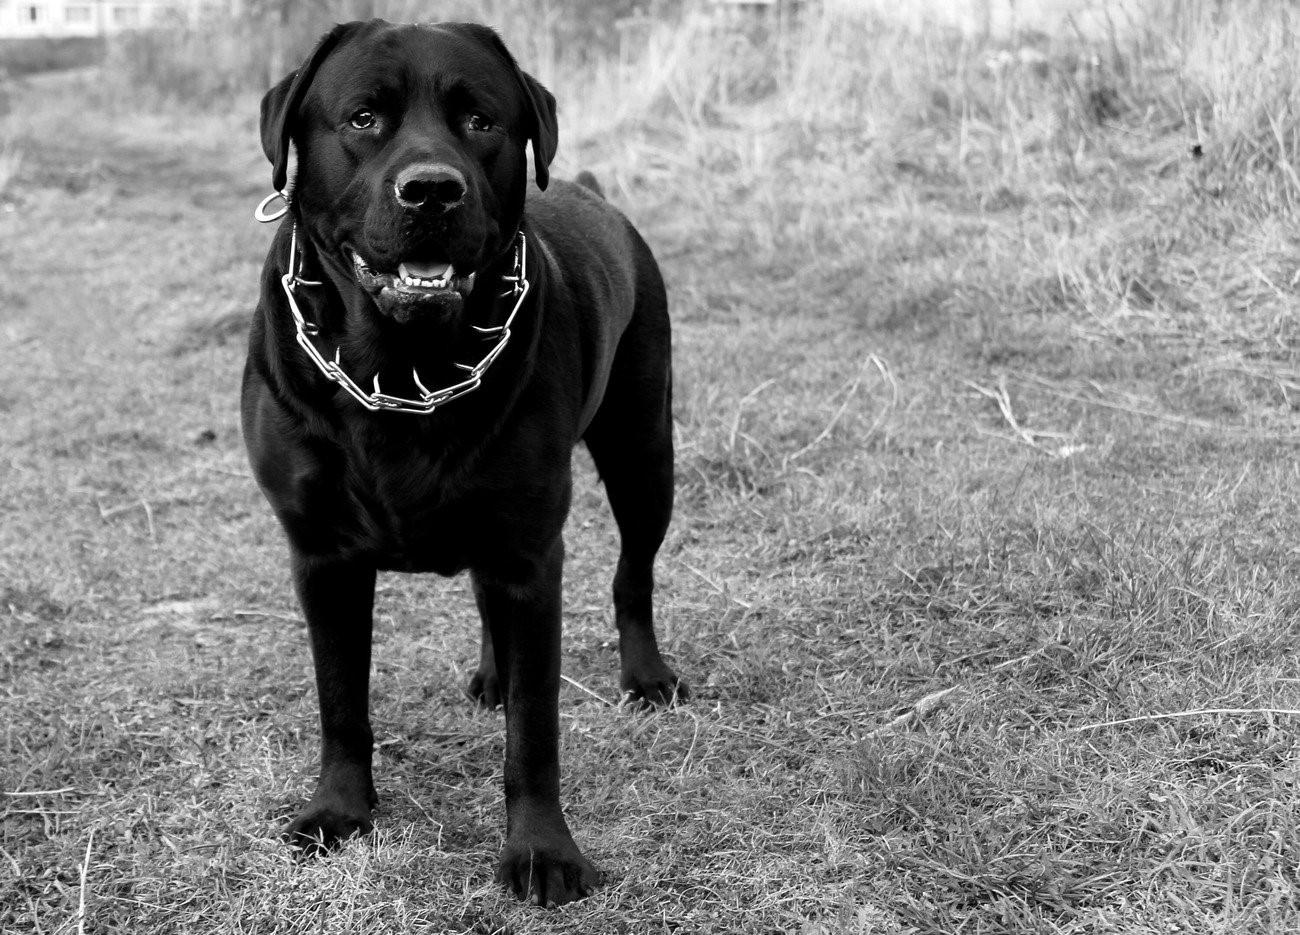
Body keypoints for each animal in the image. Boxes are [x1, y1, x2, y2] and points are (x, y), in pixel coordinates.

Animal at [244, 20, 691, 905]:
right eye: (364, 118)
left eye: (481, 121)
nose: (432, 191)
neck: (399, 367)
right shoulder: (321, 555)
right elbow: (340, 699)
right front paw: (339, 811)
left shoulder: (530, 551)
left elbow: (536, 727)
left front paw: (544, 851)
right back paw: (492, 674)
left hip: (642, 453)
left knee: (634, 573)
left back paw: (646, 673)